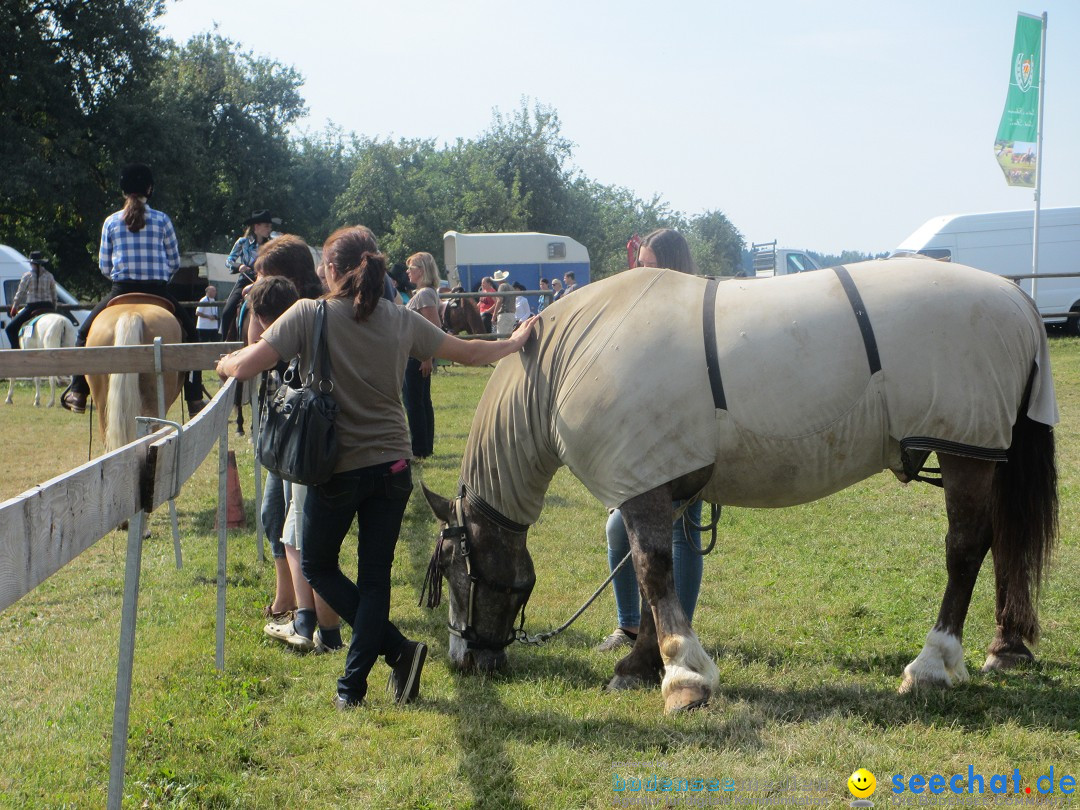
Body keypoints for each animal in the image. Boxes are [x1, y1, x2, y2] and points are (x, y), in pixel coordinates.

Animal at [419, 258, 1054, 717]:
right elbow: (656, 575)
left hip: (965, 450)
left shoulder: (640, 485)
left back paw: (931, 665)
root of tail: (1015, 296)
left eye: (452, 568)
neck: (564, 364)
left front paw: (681, 676)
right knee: (999, 544)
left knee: (966, 548)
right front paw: (641, 666)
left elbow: (652, 570)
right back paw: (1003, 649)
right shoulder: (655, 479)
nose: (462, 660)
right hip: (981, 453)